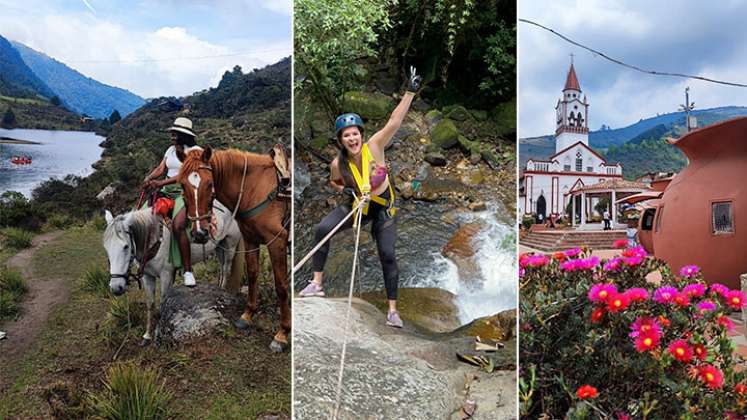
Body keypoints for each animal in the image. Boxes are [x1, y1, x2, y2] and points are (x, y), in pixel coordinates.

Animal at [102, 203, 241, 344]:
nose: (116, 287)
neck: (154, 238)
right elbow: (150, 304)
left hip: (230, 246)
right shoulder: (147, 276)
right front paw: (147, 335)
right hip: (219, 247)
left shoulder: (166, 275)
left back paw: (222, 291)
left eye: (125, 246)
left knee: (226, 269)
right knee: (221, 268)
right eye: (106, 248)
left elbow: (163, 302)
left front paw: (158, 333)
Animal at [177, 144, 290, 352]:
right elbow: (253, 274)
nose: (200, 233)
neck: (255, 187)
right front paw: (247, 316)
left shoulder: (277, 241)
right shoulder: (251, 239)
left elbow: (281, 285)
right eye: (181, 185)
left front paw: (282, 334)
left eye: (209, 184)